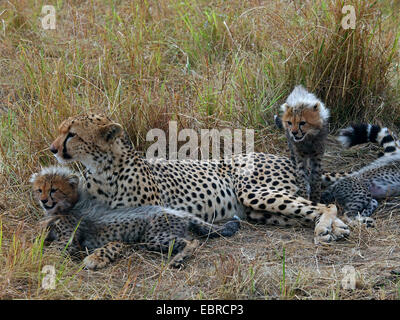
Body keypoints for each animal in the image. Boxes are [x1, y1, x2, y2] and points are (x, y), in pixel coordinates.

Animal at [49, 114, 350, 244]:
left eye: (71, 134)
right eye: (60, 131)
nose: (52, 149)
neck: (102, 169)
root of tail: (284, 158)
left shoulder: (145, 214)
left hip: (252, 190)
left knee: (325, 205)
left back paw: (327, 228)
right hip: (259, 212)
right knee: (307, 212)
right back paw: (334, 229)